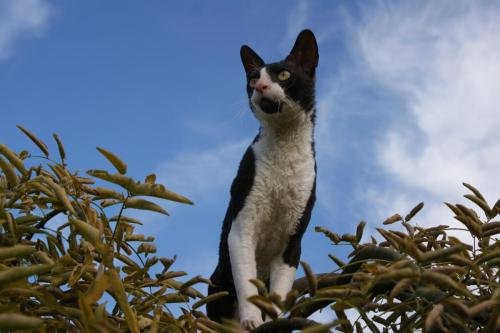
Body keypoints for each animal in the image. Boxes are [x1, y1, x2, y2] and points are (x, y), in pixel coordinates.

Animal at [208, 29, 320, 330]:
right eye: (252, 79)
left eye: (283, 75)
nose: (259, 86)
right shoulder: (241, 227)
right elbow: (247, 283)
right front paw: (252, 320)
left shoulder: (293, 242)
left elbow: (278, 294)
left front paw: (274, 320)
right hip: (217, 283)